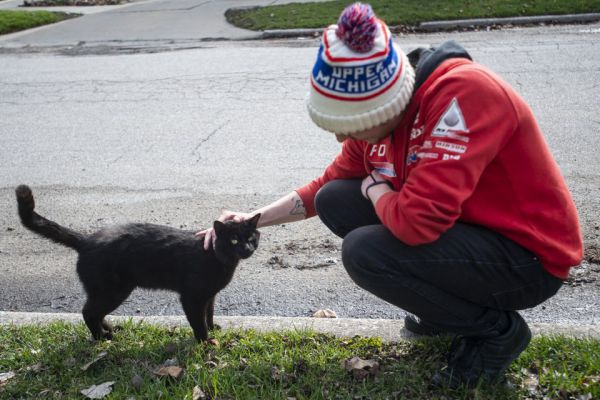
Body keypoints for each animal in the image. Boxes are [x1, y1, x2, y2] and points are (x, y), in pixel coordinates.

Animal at [15, 186, 258, 342]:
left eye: (251, 237)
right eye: (233, 240)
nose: (246, 248)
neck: (219, 258)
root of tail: (86, 240)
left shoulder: (209, 296)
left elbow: (209, 313)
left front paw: (213, 328)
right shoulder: (192, 297)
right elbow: (198, 323)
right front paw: (205, 342)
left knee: (94, 312)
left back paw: (111, 330)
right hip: (113, 291)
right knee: (88, 312)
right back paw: (102, 338)